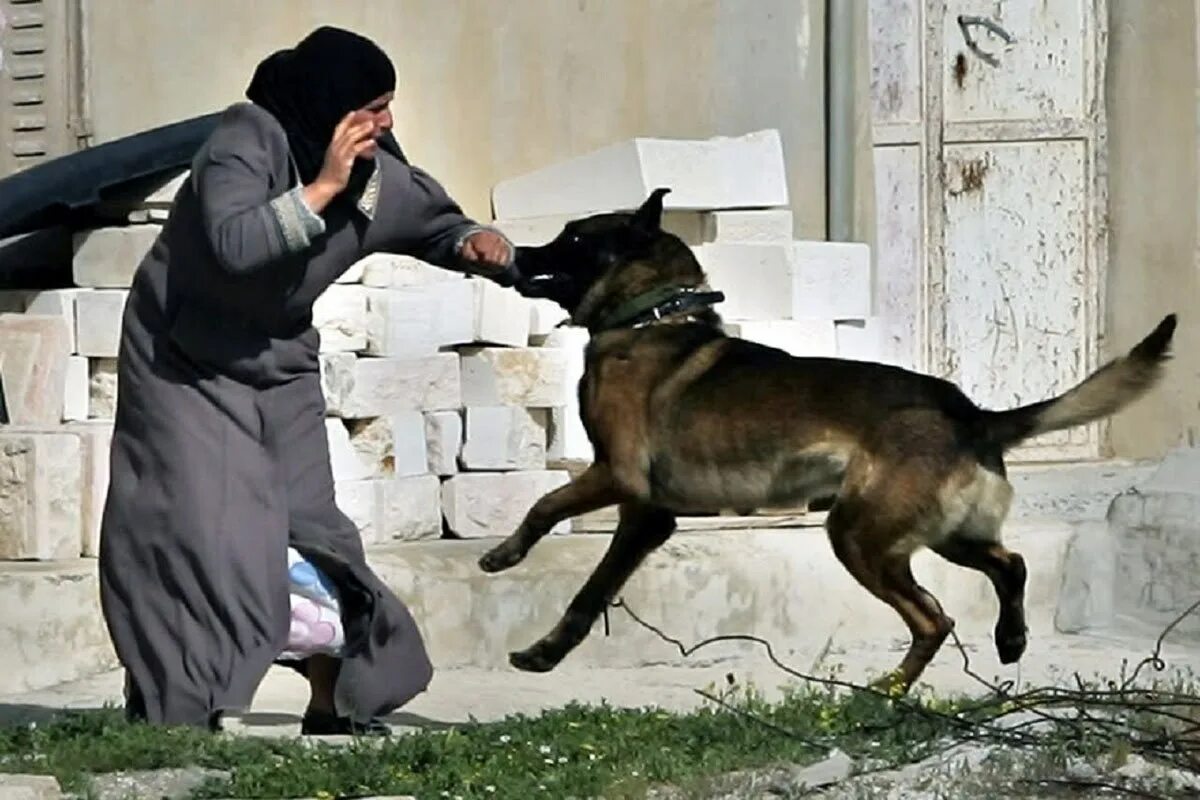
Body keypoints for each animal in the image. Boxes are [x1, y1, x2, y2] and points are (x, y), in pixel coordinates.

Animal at [480, 185, 1180, 695]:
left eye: (573, 238)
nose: (516, 252)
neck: (652, 317)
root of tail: (973, 415)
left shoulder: (617, 476)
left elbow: (544, 504)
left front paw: (504, 555)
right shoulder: (645, 517)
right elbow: (590, 592)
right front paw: (545, 653)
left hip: (859, 535)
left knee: (935, 616)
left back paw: (886, 690)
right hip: (941, 534)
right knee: (1010, 564)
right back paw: (1009, 640)